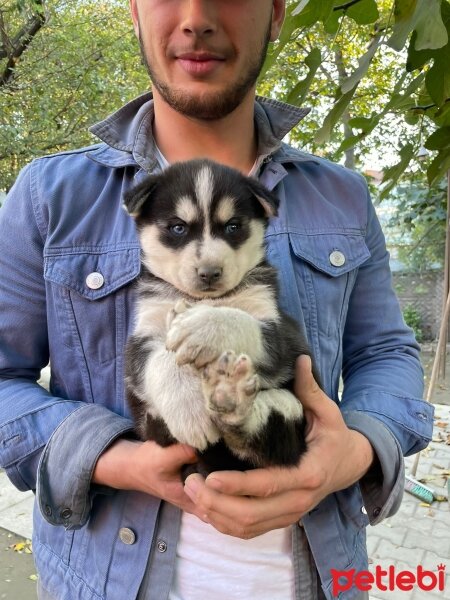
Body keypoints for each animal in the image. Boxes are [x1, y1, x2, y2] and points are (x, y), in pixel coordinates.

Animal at [125, 161, 316, 474]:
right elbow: (162, 358)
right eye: (178, 227)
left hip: (291, 415)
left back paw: (230, 395)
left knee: (267, 432)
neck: (204, 300)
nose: (209, 272)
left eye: (233, 226)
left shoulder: (284, 336)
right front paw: (191, 411)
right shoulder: (142, 335)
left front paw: (202, 326)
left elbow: (241, 321)